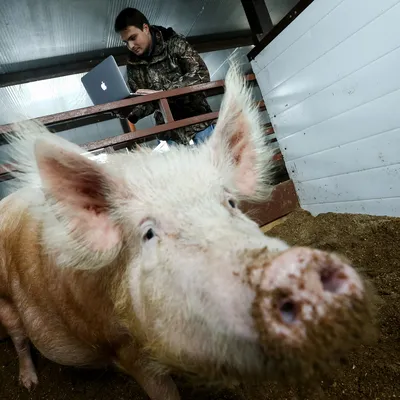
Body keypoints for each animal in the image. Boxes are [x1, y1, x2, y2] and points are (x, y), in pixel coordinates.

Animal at [0, 64, 376, 398]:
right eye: (149, 233)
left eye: (231, 202)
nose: (292, 268)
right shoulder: (131, 353)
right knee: (19, 339)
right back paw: (29, 384)